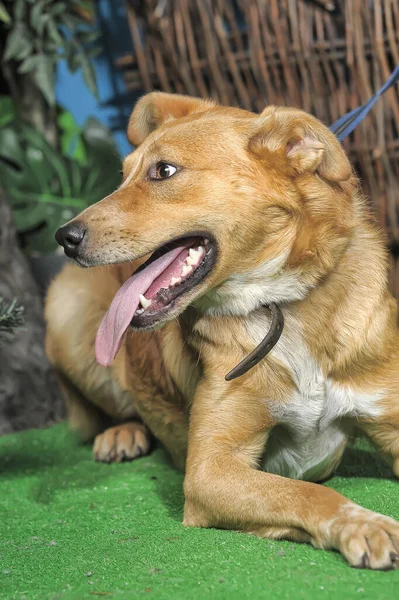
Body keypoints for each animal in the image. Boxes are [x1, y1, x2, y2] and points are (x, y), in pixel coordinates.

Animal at [45, 92, 399, 568]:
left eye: (164, 171)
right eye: (122, 177)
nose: (65, 237)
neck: (280, 305)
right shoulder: (210, 471)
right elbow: (304, 493)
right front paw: (364, 524)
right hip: (67, 307)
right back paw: (122, 433)